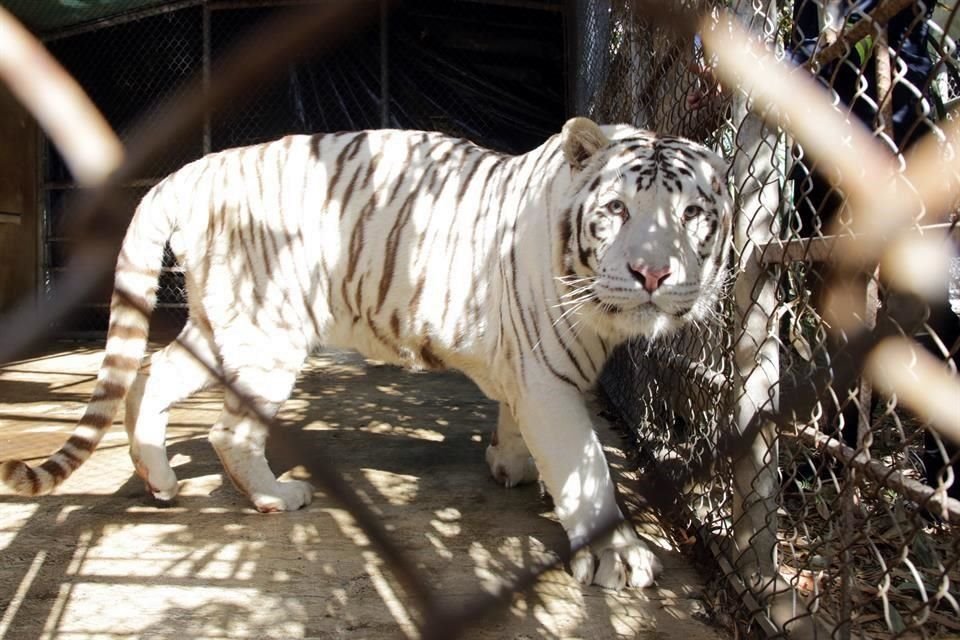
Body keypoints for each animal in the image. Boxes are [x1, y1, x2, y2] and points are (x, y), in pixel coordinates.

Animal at [1, 116, 736, 592]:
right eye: (616, 209)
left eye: (694, 214)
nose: (652, 274)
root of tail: (189, 171)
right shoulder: (547, 369)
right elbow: (587, 468)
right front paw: (618, 556)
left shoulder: (525, 364)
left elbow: (515, 422)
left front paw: (510, 463)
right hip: (268, 331)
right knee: (227, 429)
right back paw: (276, 497)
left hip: (219, 323)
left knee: (150, 376)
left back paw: (158, 481)